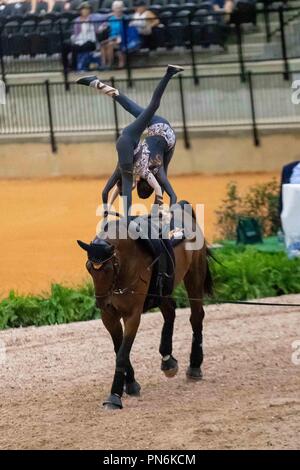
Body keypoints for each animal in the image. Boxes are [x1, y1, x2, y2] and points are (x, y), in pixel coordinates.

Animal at [77, 204, 213, 410]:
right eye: (89, 267)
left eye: (108, 269)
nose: (101, 303)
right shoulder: (109, 316)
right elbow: (119, 349)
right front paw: (131, 384)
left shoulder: (133, 315)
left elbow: (122, 353)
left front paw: (114, 396)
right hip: (163, 289)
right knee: (170, 313)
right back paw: (167, 360)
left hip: (194, 275)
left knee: (196, 316)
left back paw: (195, 366)